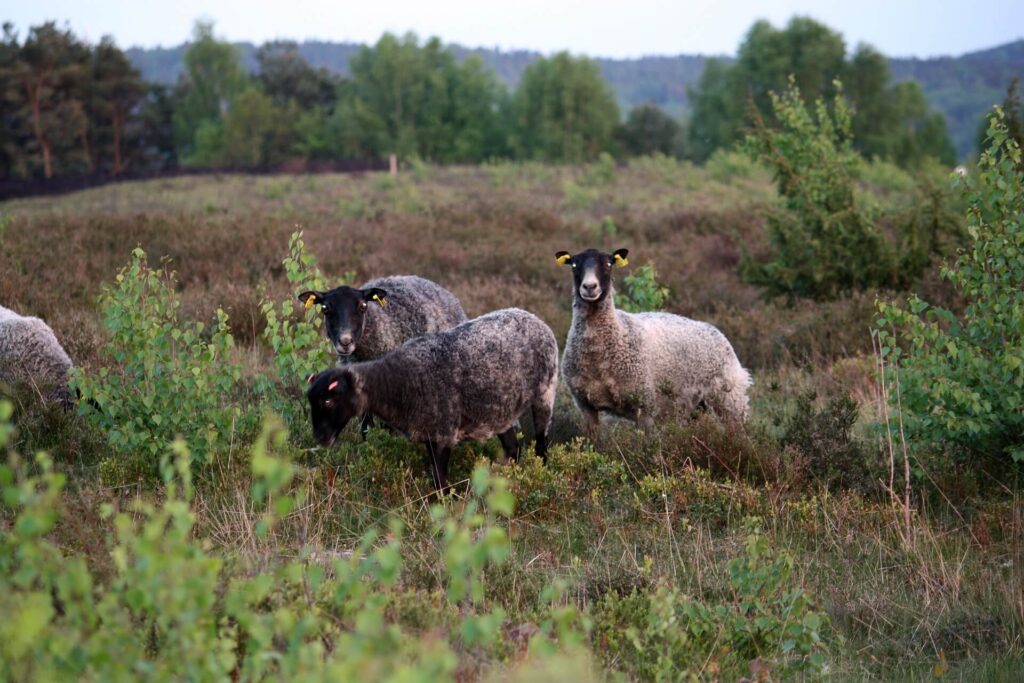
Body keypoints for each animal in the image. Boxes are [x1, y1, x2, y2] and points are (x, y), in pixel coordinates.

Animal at [305, 309, 561, 491]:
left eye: (328, 402)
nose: (320, 438)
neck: (397, 382)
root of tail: (536, 319)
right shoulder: (429, 434)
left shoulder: (444, 434)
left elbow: (439, 480)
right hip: (501, 411)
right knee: (513, 448)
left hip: (546, 392)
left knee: (541, 442)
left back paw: (542, 473)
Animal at [552, 248, 753, 436]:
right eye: (574, 265)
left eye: (609, 264)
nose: (589, 287)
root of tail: (717, 332)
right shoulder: (585, 405)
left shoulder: (645, 405)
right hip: (695, 406)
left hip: (729, 398)